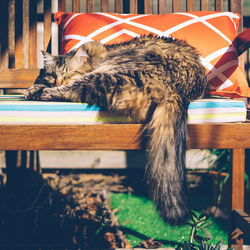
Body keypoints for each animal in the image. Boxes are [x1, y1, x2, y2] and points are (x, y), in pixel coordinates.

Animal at [24, 34, 207, 223]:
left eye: (69, 74)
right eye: (53, 75)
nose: (58, 82)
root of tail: (177, 91)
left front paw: (36, 90)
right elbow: (40, 82)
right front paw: (38, 86)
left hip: (110, 74)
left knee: (75, 91)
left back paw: (42, 93)